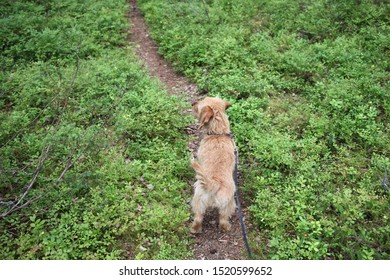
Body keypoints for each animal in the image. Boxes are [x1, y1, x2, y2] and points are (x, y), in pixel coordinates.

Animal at [189, 97, 235, 233]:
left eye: (199, 105)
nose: (192, 103)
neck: (217, 132)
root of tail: (214, 184)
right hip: (223, 205)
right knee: (222, 220)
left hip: (199, 200)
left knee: (198, 218)